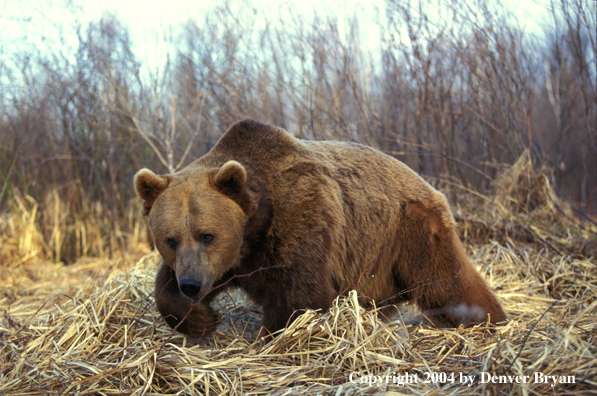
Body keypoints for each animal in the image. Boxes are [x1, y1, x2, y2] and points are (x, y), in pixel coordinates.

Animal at [135, 118, 502, 338]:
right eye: (170, 239)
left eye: (207, 235)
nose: (191, 285)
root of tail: (429, 185)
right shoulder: (235, 259)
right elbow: (165, 287)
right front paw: (200, 318)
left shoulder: (300, 219)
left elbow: (300, 295)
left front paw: (273, 336)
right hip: (375, 261)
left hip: (409, 228)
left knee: (447, 280)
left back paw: (485, 317)